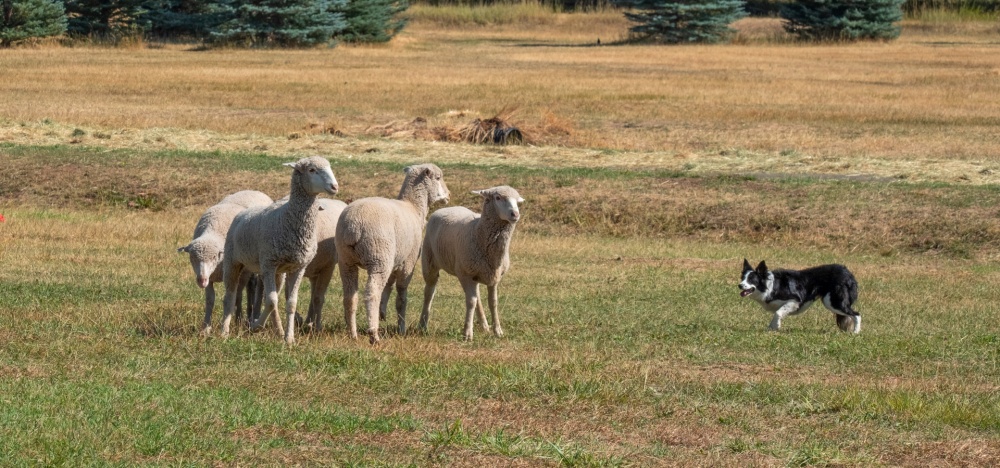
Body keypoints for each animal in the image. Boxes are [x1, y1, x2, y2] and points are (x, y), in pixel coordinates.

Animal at [176, 190, 270, 330]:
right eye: (192, 257)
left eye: (214, 257)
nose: (201, 280)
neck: (214, 230)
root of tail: (255, 191)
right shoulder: (210, 278)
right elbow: (210, 300)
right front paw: (206, 327)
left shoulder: (236, 272)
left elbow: (234, 296)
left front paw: (236, 320)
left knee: (251, 288)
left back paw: (248, 316)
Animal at [213, 157, 338, 344]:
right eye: (312, 170)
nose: (335, 186)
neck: (288, 218)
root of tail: (244, 212)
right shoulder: (268, 264)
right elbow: (271, 301)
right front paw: (257, 326)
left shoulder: (297, 268)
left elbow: (289, 303)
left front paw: (289, 338)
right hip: (233, 261)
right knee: (230, 296)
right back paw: (224, 331)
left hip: (277, 271)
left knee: (272, 297)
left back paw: (277, 330)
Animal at [338, 164, 452, 344]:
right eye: (438, 178)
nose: (449, 195)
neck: (414, 207)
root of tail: (352, 226)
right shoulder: (408, 264)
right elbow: (401, 298)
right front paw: (401, 328)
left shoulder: (395, 259)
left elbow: (389, 285)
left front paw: (383, 312)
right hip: (378, 257)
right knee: (372, 293)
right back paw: (374, 334)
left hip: (346, 260)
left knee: (350, 296)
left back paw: (353, 333)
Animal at [418, 185, 524, 342]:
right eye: (498, 198)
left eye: (517, 201)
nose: (515, 214)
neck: (478, 232)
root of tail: (447, 208)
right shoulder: (466, 274)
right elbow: (471, 302)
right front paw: (467, 333)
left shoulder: (494, 276)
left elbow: (493, 302)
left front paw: (497, 330)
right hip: (430, 262)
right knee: (429, 293)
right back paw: (423, 324)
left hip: (474, 272)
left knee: (477, 296)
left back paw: (484, 325)